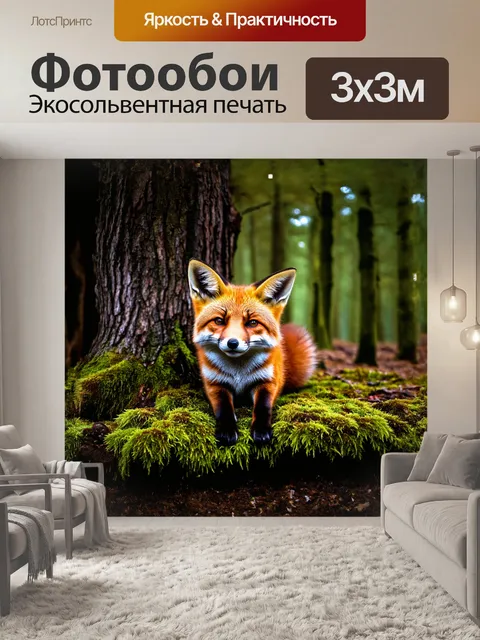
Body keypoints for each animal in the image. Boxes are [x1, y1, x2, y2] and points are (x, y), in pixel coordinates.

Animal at [188, 259, 318, 447]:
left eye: (252, 323)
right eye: (219, 321)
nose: (232, 343)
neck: (238, 372)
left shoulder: (268, 381)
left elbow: (263, 407)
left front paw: (261, 431)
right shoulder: (214, 383)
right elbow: (223, 408)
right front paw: (227, 430)